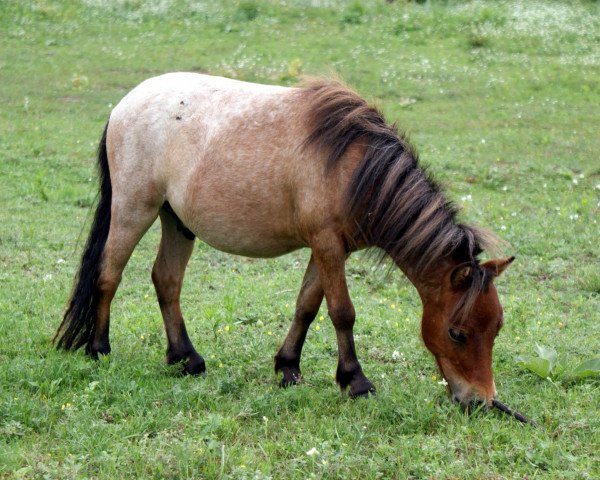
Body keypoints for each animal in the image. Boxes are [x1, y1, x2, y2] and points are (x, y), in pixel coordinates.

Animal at [54, 73, 512, 406]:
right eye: (457, 333)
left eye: (496, 329)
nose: (481, 401)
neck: (355, 169)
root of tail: (125, 104)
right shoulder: (327, 246)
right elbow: (342, 313)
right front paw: (356, 381)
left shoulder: (328, 249)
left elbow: (306, 307)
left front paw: (288, 368)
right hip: (135, 208)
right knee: (108, 273)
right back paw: (98, 349)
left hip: (176, 221)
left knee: (166, 281)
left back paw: (186, 357)